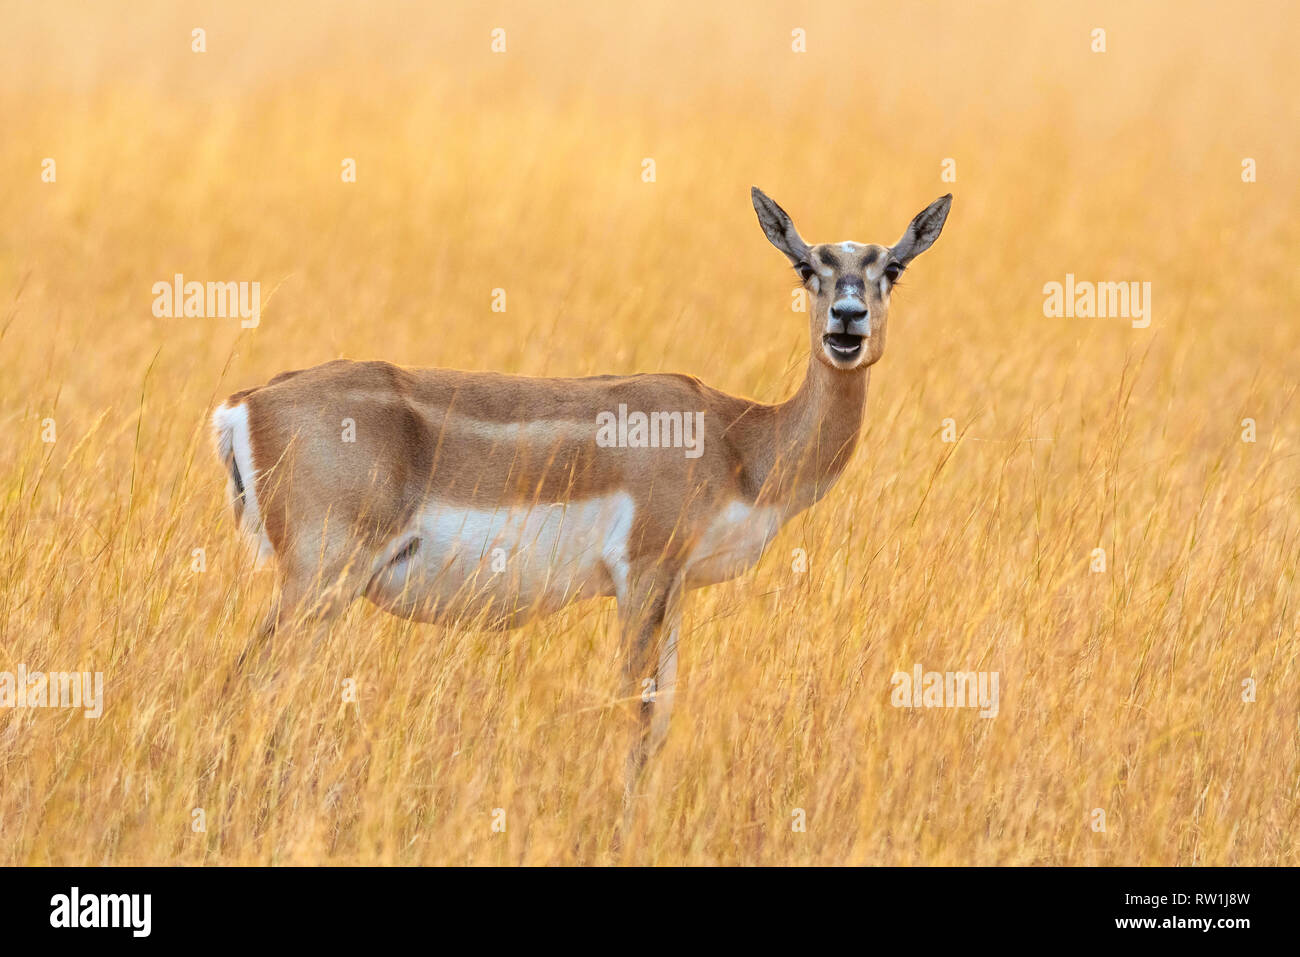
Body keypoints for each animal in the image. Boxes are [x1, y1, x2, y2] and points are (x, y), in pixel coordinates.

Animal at [210, 188, 946, 780]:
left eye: (891, 268)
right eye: (806, 267)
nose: (846, 320)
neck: (739, 439)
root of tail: (247, 402)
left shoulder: (675, 587)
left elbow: (663, 714)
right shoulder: (643, 574)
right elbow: (635, 714)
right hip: (321, 581)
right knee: (253, 682)